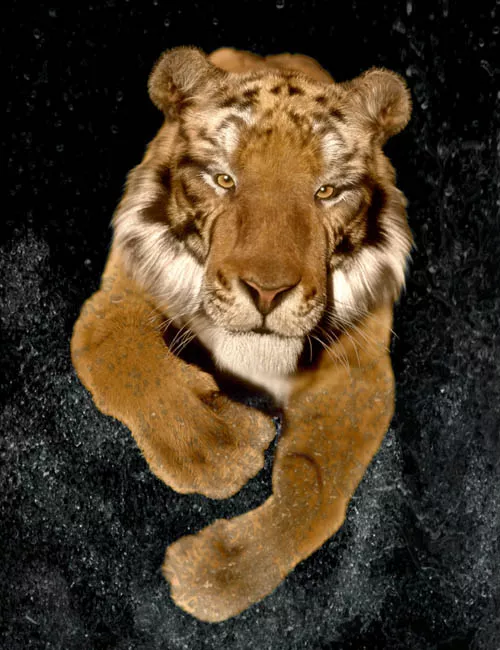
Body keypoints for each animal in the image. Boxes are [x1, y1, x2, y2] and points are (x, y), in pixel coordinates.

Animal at [71, 46, 412, 623]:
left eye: (326, 191)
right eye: (224, 180)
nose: (268, 292)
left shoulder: (359, 372)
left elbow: (314, 485)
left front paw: (215, 575)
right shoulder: (121, 291)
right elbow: (117, 351)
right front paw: (217, 449)